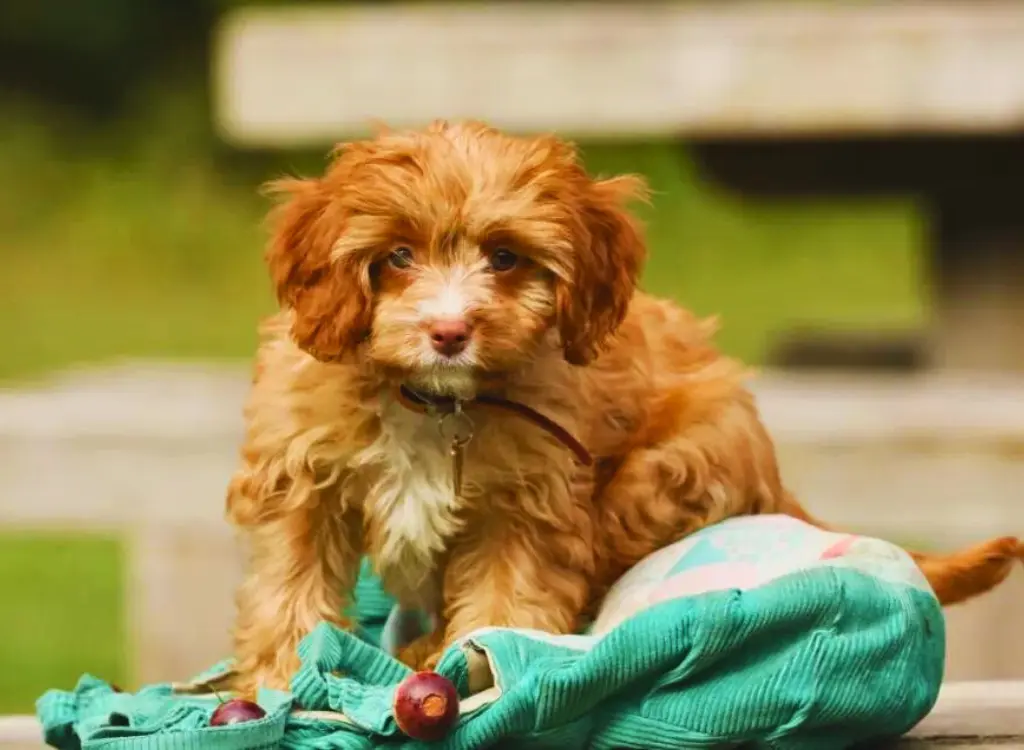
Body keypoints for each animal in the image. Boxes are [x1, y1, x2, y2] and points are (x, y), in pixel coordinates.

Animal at [226, 119, 1024, 692]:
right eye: (396, 256)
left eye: (505, 258)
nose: (449, 332)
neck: (433, 401)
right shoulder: (301, 478)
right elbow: (289, 589)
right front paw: (277, 682)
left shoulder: (530, 506)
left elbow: (507, 605)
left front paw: (476, 666)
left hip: (660, 475)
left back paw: (426, 647)